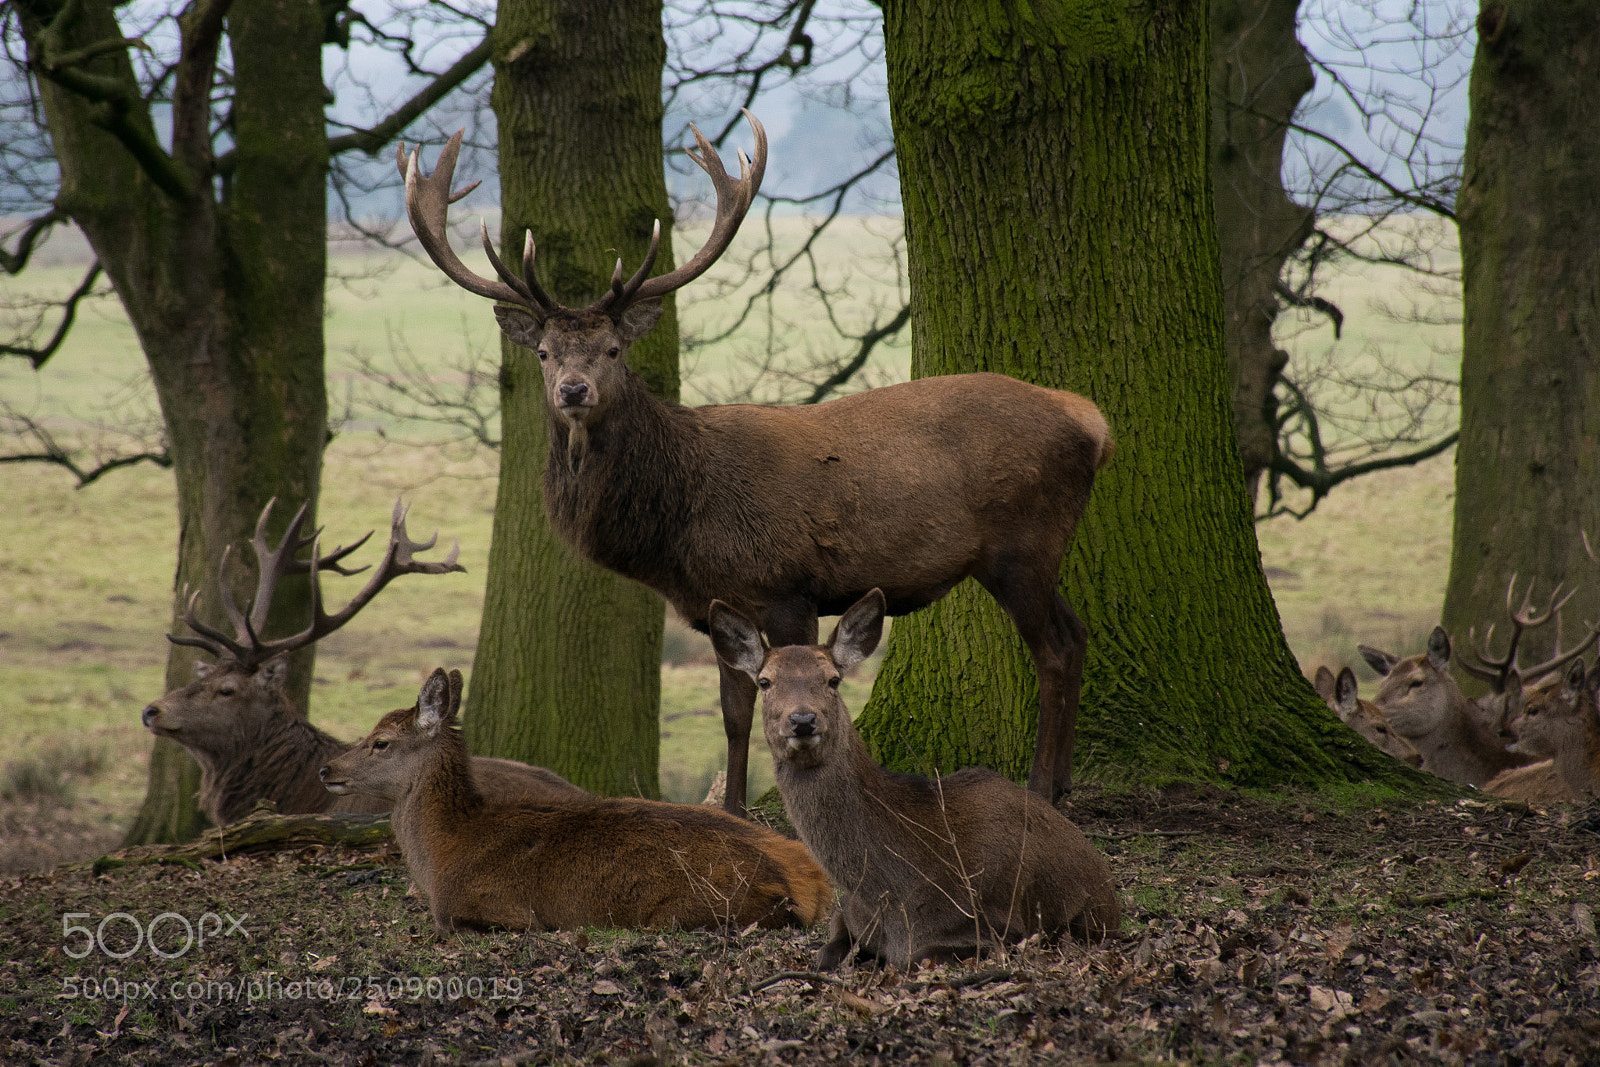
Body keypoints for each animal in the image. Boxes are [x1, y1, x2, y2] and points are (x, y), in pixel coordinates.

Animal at [320, 668, 832, 933]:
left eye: (381, 741)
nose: (328, 769)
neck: (444, 852)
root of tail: (810, 884)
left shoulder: (499, 910)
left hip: (692, 911)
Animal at [398, 112, 1113, 817]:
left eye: (613, 349)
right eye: (544, 353)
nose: (574, 391)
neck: (678, 526)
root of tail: (1093, 423)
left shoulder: (787, 585)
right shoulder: (715, 601)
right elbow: (736, 711)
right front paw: (735, 809)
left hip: (1022, 541)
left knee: (1055, 647)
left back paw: (1041, 789)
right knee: (1077, 634)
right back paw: (1063, 781)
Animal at [708, 589, 1120, 970]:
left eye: (833, 680)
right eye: (765, 681)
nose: (803, 720)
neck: (890, 899)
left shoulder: (997, 926)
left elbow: (913, 959)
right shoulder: (847, 913)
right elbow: (825, 953)